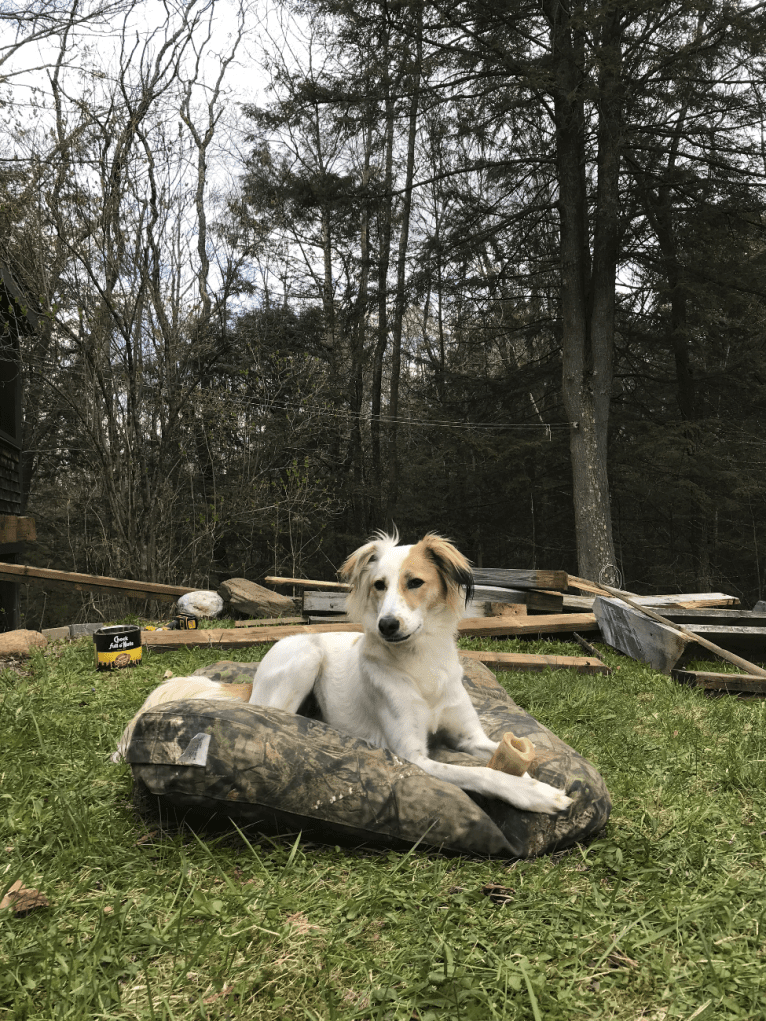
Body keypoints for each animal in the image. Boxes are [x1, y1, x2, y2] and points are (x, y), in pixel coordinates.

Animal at [110, 535, 571, 812]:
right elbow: (480, 773)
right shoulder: (414, 756)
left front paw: (535, 775)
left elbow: (509, 755)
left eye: (415, 582)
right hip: (304, 656)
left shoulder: (470, 737)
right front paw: (532, 793)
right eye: (380, 584)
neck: (419, 662)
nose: (387, 626)